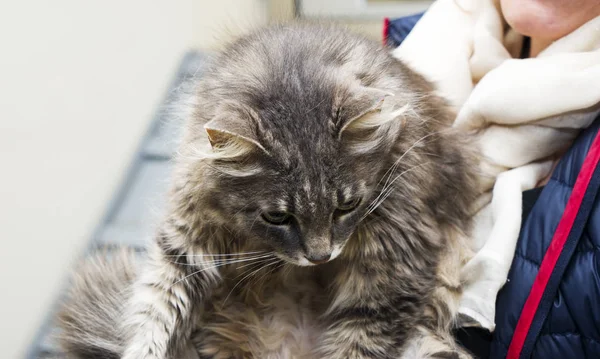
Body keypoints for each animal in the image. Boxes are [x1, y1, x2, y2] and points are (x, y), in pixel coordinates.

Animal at [56, 23, 478, 358]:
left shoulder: (396, 265)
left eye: (348, 206)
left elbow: (358, 342)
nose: (319, 257)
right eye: (277, 217)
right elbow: (156, 311)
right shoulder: (186, 241)